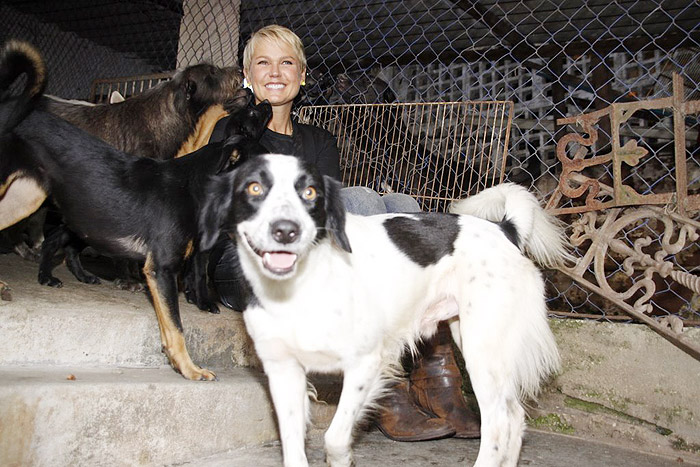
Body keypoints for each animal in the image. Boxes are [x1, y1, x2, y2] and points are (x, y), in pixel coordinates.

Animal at [0, 41, 272, 380]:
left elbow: (170, 327)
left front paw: (178, 363)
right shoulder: (161, 269)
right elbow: (176, 326)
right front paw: (190, 369)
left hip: (24, 198)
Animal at [200, 154, 572, 467]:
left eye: (309, 192)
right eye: (254, 188)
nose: (286, 231)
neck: (298, 288)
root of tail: (503, 228)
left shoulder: (367, 364)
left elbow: (335, 438)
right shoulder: (283, 371)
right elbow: (293, 449)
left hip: (483, 349)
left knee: (498, 422)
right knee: (515, 417)